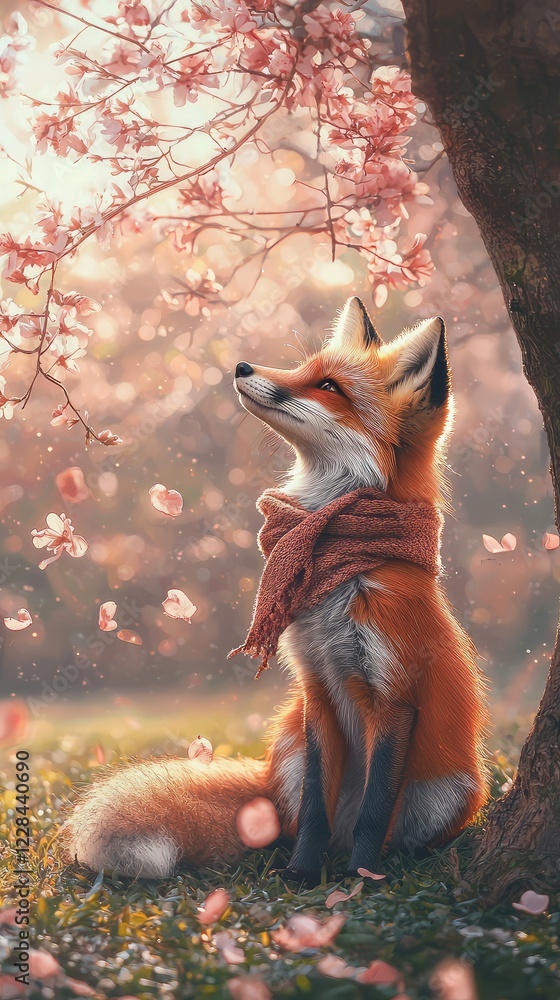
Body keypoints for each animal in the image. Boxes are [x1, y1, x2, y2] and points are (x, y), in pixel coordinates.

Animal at [63, 296, 489, 880]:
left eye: (329, 386)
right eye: (302, 369)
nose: (242, 367)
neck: (338, 580)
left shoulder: (394, 696)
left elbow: (373, 815)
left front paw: (360, 882)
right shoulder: (317, 690)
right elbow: (313, 808)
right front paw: (303, 877)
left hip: (448, 790)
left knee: (386, 830)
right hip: (289, 751)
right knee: (291, 818)